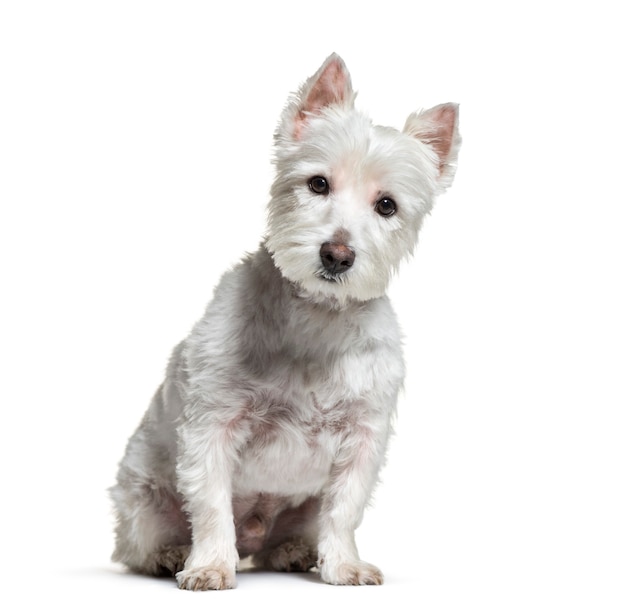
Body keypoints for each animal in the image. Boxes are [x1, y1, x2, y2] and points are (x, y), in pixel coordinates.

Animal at [111, 53, 458, 592]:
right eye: (318, 183)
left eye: (387, 205)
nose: (337, 255)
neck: (317, 317)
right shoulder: (212, 424)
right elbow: (210, 505)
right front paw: (210, 566)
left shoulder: (363, 435)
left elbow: (345, 509)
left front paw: (344, 566)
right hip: (141, 496)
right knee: (139, 545)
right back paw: (172, 554)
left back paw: (295, 550)